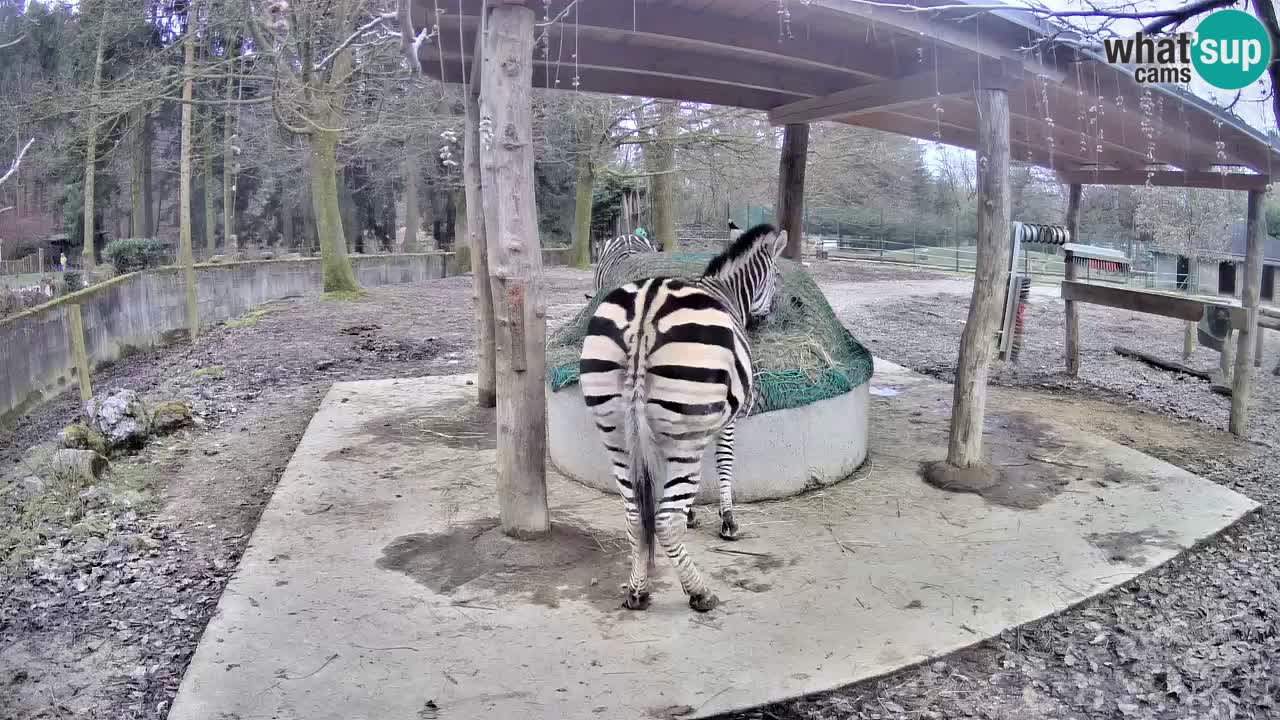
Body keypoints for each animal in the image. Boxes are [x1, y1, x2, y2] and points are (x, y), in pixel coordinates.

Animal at [581, 221, 788, 607]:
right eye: (777, 277)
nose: (770, 317)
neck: (728, 292)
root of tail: (645, 311)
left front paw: (694, 513)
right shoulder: (725, 419)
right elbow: (724, 461)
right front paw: (727, 520)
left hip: (616, 431)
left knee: (635, 514)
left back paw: (637, 590)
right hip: (684, 433)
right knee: (665, 521)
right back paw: (699, 592)